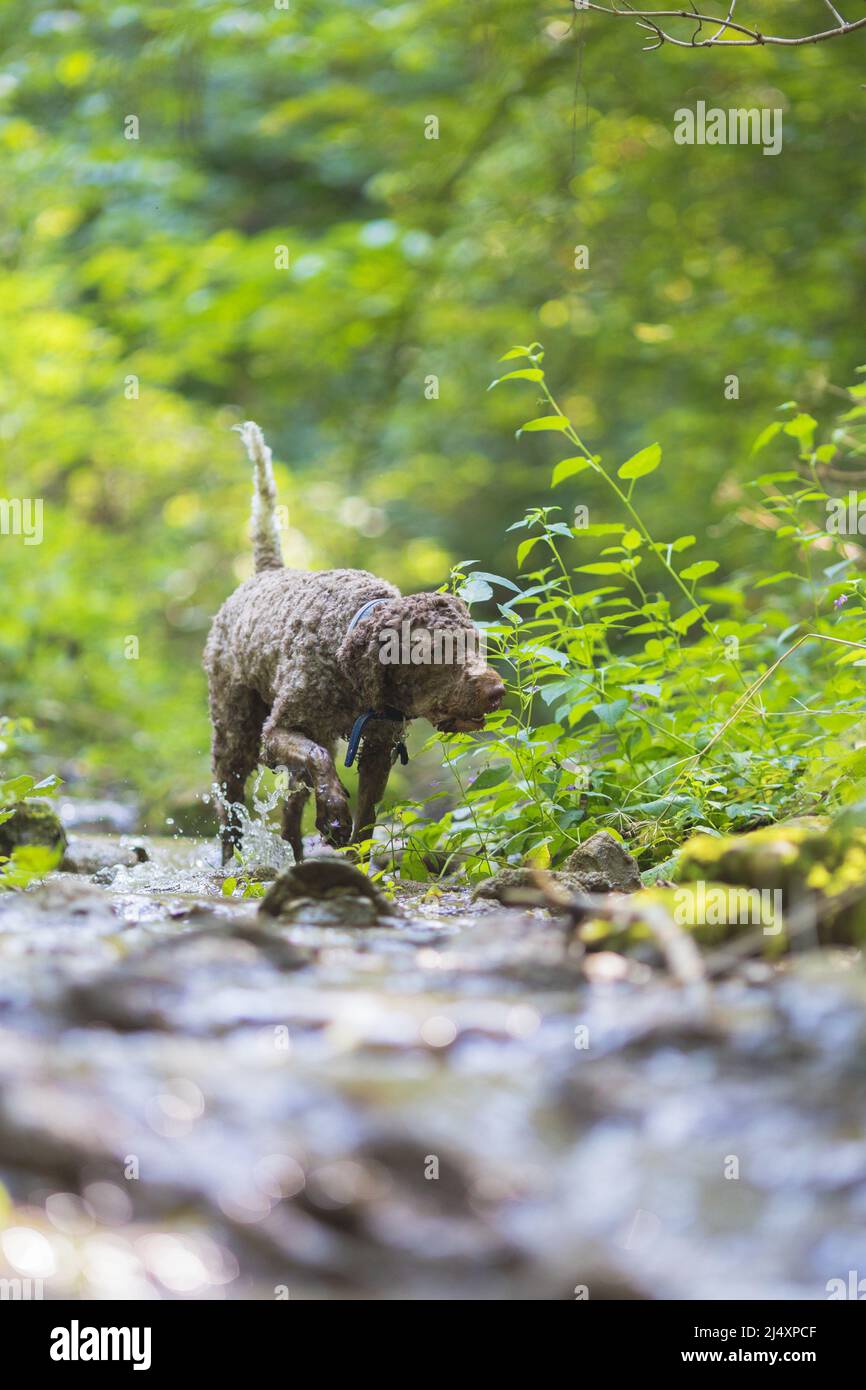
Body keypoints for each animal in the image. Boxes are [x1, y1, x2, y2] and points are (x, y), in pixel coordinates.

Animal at [202, 419, 505, 856]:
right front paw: (334, 814)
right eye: (437, 653)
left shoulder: (379, 747)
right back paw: (234, 858)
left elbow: (367, 819)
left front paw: (350, 847)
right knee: (232, 804)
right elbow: (317, 759)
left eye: (476, 644)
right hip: (236, 729)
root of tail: (267, 570)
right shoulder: (276, 733)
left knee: (292, 808)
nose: (498, 691)